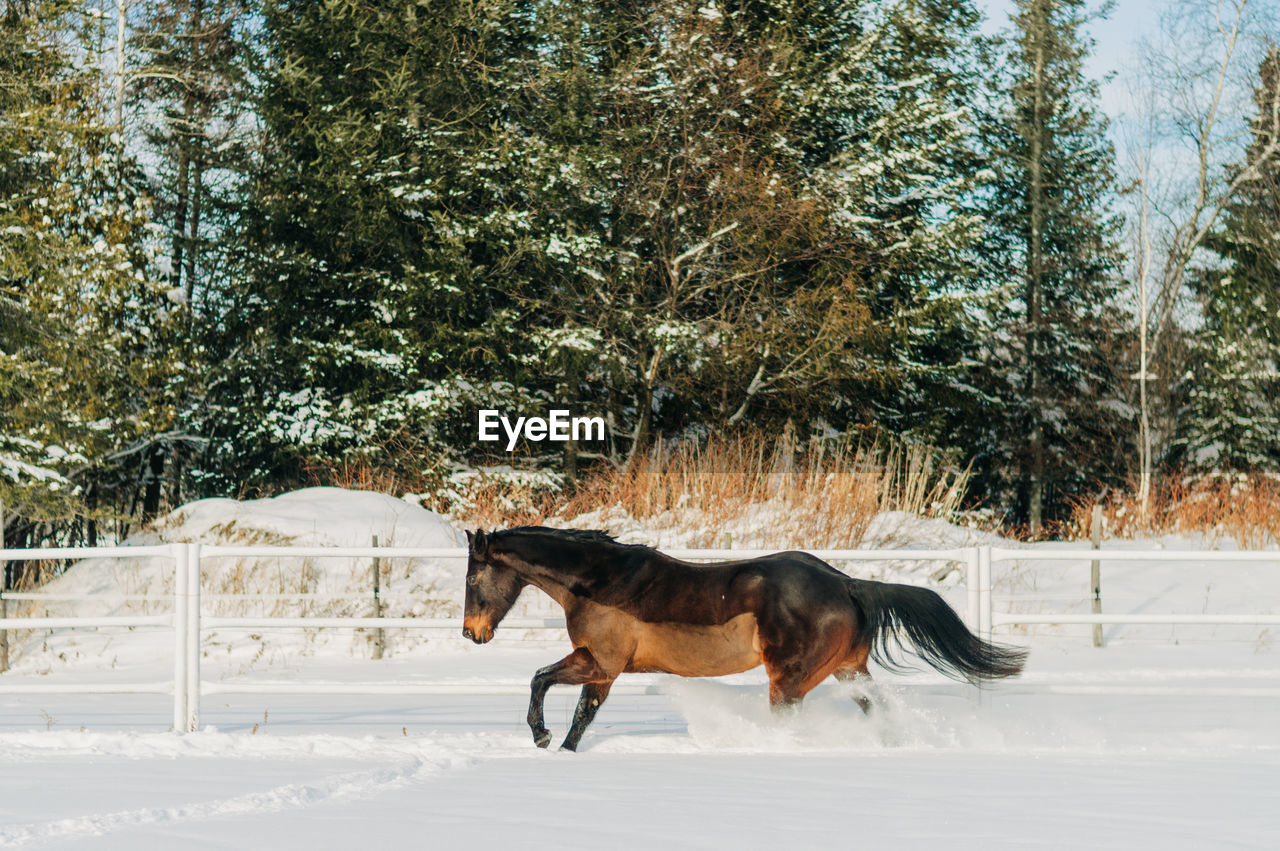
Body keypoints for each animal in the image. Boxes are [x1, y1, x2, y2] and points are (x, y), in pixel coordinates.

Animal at [465, 524, 1024, 752]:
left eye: (472, 579)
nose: (472, 634)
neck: (602, 583)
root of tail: (846, 582)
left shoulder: (600, 660)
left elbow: (539, 680)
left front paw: (539, 736)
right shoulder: (604, 670)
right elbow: (583, 717)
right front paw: (559, 751)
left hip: (790, 681)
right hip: (848, 671)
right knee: (879, 710)